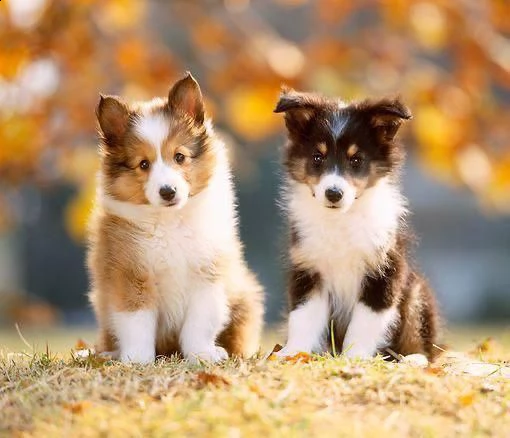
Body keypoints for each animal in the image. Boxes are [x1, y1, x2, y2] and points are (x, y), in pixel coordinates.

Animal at [87, 73, 262, 364]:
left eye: (179, 157)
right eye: (143, 164)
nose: (168, 191)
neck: (169, 222)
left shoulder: (207, 275)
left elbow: (200, 322)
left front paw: (202, 354)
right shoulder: (131, 275)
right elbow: (137, 322)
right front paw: (137, 359)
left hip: (243, 298)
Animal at [274, 88, 438, 360]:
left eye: (356, 160)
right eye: (317, 157)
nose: (333, 194)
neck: (341, 219)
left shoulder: (384, 271)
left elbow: (365, 322)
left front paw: (355, 357)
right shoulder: (308, 269)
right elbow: (303, 316)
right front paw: (293, 353)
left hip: (416, 293)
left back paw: (414, 359)